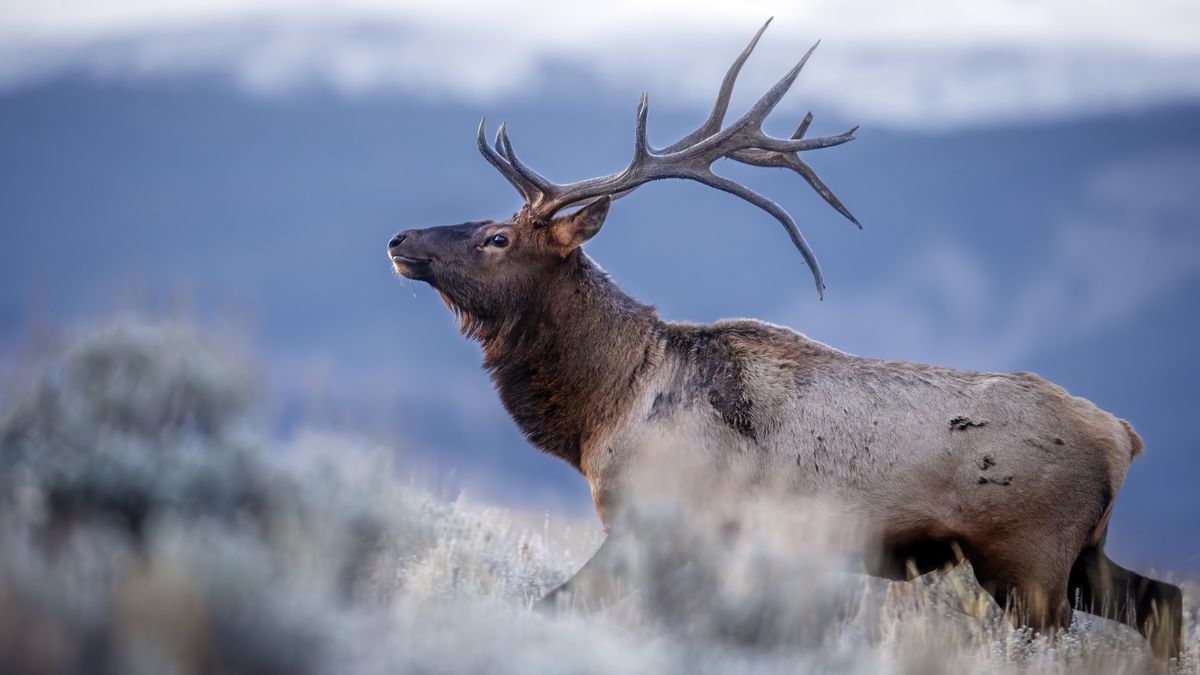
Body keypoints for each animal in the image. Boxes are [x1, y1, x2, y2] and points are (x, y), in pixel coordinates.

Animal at [388, 19, 1185, 658]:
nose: (400, 239)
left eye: (497, 237)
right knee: (1164, 600)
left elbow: (555, 604)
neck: (601, 407)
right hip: (1081, 553)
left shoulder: (659, 524)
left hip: (1030, 558)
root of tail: (1123, 435)